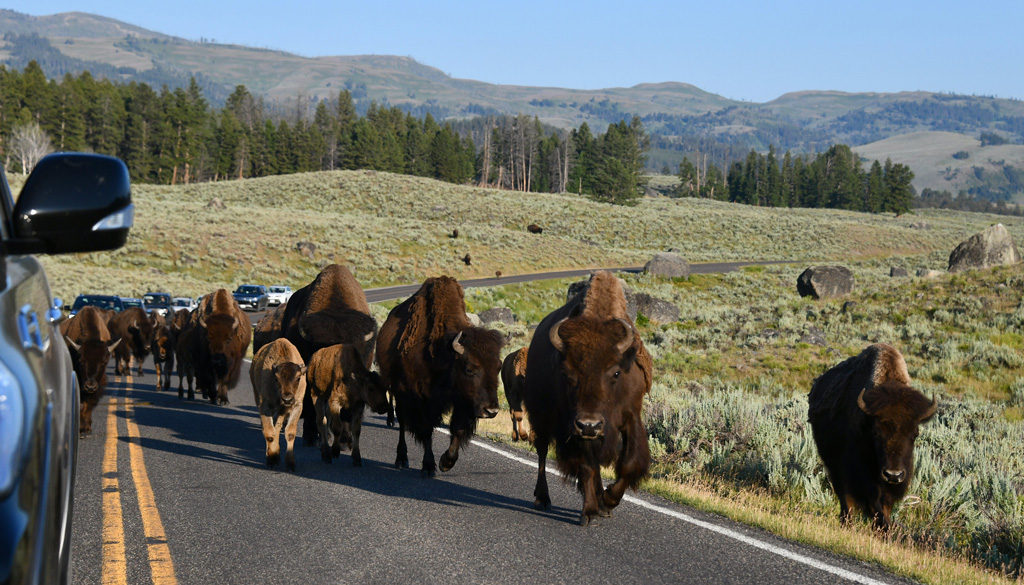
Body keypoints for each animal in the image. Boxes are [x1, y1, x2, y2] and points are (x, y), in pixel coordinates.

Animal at [249, 338, 305, 471]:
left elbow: (290, 433)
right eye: (276, 379)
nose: (287, 399)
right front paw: (272, 459)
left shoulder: (297, 406)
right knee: (269, 430)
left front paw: (290, 464)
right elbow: (269, 433)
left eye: (298, 378)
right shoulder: (265, 406)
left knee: (277, 428)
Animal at [376, 274, 503, 475]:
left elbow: (457, 429)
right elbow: (427, 430)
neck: (443, 354)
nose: (491, 411)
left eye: (498, 367)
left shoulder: (462, 401)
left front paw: (446, 462)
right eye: (469, 369)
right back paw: (401, 459)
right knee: (402, 421)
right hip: (398, 389)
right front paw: (429, 466)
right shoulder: (421, 400)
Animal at [524, 270, 651, 524]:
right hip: (542, 416)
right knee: (542, 452)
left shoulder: (631, 415)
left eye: (616, 372)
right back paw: (543, 498)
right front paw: (591, 510)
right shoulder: (572, 426)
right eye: (567, 373)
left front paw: (608, 501)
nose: (590, 425)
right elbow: (586, 467)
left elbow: (629, 463)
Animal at [806, 344, 937, 532]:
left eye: (915, 433)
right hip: (834, 465)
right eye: (875, 432)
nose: (893, 475)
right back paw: (847, 522)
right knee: (845, 499)